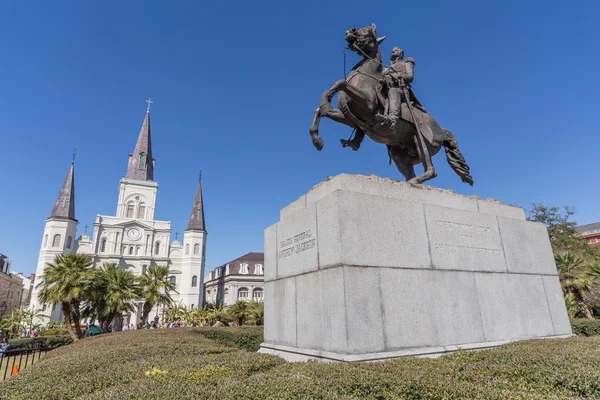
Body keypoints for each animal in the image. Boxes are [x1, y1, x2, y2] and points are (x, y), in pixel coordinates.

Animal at [310, 24, 474, 187]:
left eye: (368, 32)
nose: (350, 31)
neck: (365, 75)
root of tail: (441, 131)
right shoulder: (349, 119)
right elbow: (321, 110)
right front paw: (318, 140)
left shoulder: (368, 103)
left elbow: (341, 82)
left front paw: (325, 103)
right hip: (400, 154)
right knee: (410, 172)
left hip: (422, 142)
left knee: (431, 170)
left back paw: (414, 181)